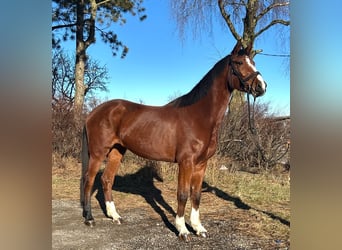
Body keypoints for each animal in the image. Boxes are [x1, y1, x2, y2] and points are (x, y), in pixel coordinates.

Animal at [81, 41, 268, 242]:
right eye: (239, 63)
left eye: (253, 62)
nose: (262, 86)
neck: (199, 117)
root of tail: (93, 113)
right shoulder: (186, 162)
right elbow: (183, 194)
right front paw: (182, 230)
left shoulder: (201, 164)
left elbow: (196, 195)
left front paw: (199, 228)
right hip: (98, 153)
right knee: (89, 180)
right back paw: (89, 218)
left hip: (117, 151)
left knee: (107, 179)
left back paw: (115, 216)